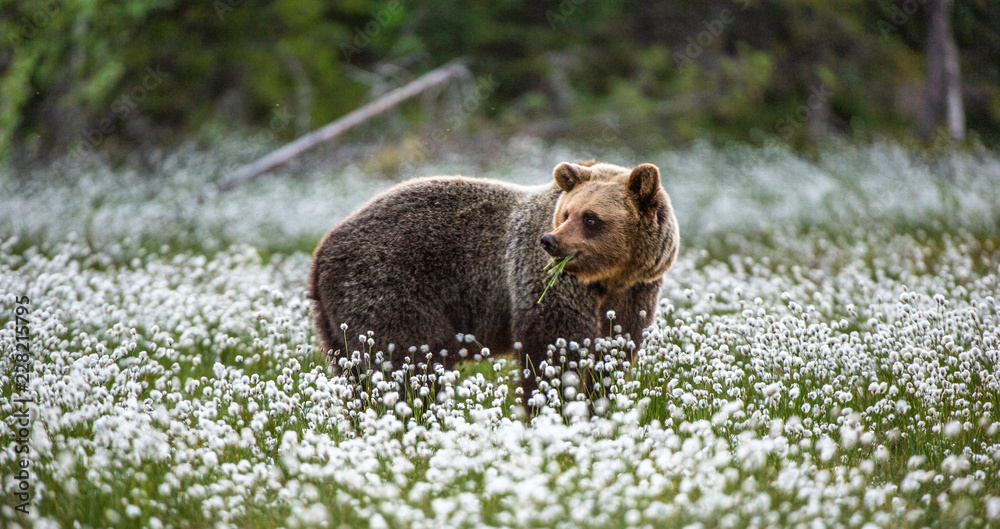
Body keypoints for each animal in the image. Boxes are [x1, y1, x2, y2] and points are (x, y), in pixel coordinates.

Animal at [309, 160, 679, 411]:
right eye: (566, 213)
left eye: (591, 218)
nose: (550, 242)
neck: (609, 277)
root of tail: (320, 253)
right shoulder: (548, 282)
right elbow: (554, 347)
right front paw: (555, 407)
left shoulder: (634, 294)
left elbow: (614, 351)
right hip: (387, 287)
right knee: (401, 362)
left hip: (338, 322)